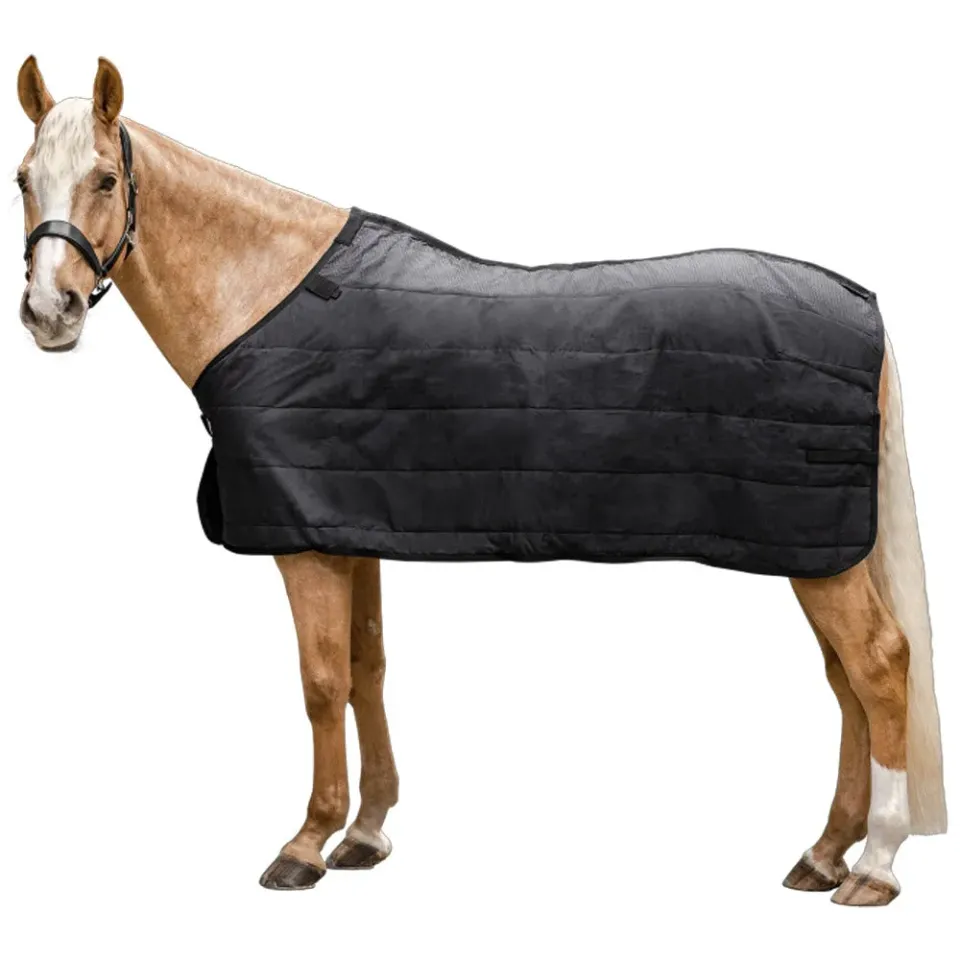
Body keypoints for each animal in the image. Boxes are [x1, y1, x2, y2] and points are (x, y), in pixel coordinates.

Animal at [14, 55, 946, 906]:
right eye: (23, 179)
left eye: (104, 179)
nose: (47, 313)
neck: (266, 295)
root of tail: (863, 304)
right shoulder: (349, 529)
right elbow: (367, 666)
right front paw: (367, 832)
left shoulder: (302, 542)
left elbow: (320, 684)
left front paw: (307, 843)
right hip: (821, 553)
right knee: (847, 682)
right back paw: (823, 854)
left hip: (817, 553)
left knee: (878, 665)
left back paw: (874, 866)